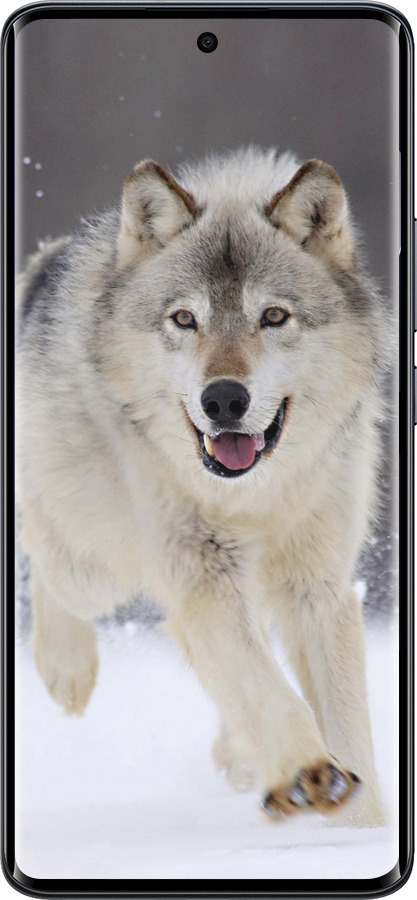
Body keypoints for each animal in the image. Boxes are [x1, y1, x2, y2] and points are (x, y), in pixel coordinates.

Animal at [17, 147, 388, 826]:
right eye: (185, 319)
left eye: (273, 316)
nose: (223, 400)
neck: (253, 497)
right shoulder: (202, 573)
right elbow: (265, 686)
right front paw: (308, 772)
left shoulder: (317, 585)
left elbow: (345, 721)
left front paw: (360, 824)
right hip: (96, 565)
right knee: (44, 554)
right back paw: (67, 670)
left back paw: (239, 756)